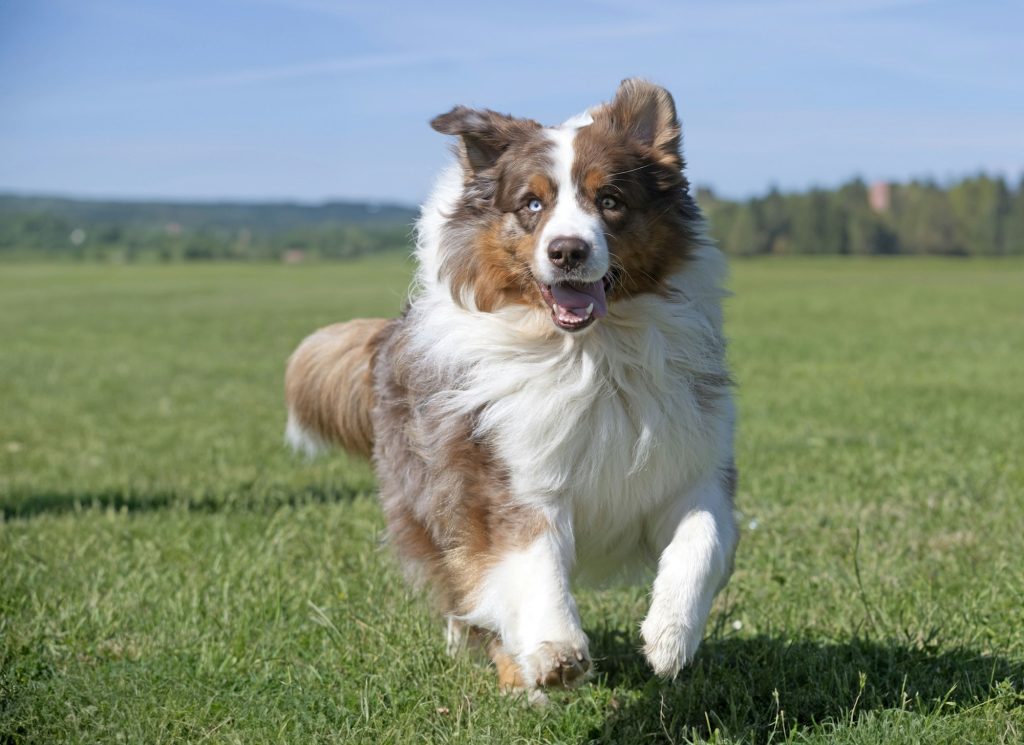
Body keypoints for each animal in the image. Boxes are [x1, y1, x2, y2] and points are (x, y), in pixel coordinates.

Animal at [284, 78, 741, 699]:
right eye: (532, 204)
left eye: (611, 200)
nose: (567, 251)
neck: (592, 357)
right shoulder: (506, 474)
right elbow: (532, 560)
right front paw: (554, 649)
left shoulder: (691, 462)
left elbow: (701, 539)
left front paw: (671, 635)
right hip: (429, 493)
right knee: (468, 587)